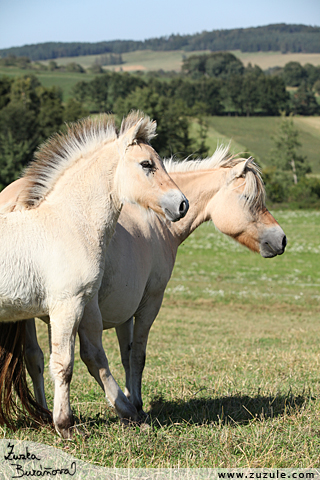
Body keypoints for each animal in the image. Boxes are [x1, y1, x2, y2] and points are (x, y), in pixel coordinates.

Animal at [0, 110, 189, 436]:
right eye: (147, 164)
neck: (69, 223)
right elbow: (64, 364)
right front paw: (65, 425)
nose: (182, 205)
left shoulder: (79, 304)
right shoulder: (67, 305)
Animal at [0, 146, 284, 420]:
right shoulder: (149, 304)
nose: (281, 239)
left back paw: (45, 413)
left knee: (35, 358)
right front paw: (135, 403)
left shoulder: (123, 312)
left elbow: (125, 355)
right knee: (88, 356)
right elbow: (137, 355)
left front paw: (128, 397)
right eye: (248, 199)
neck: (155, 219)